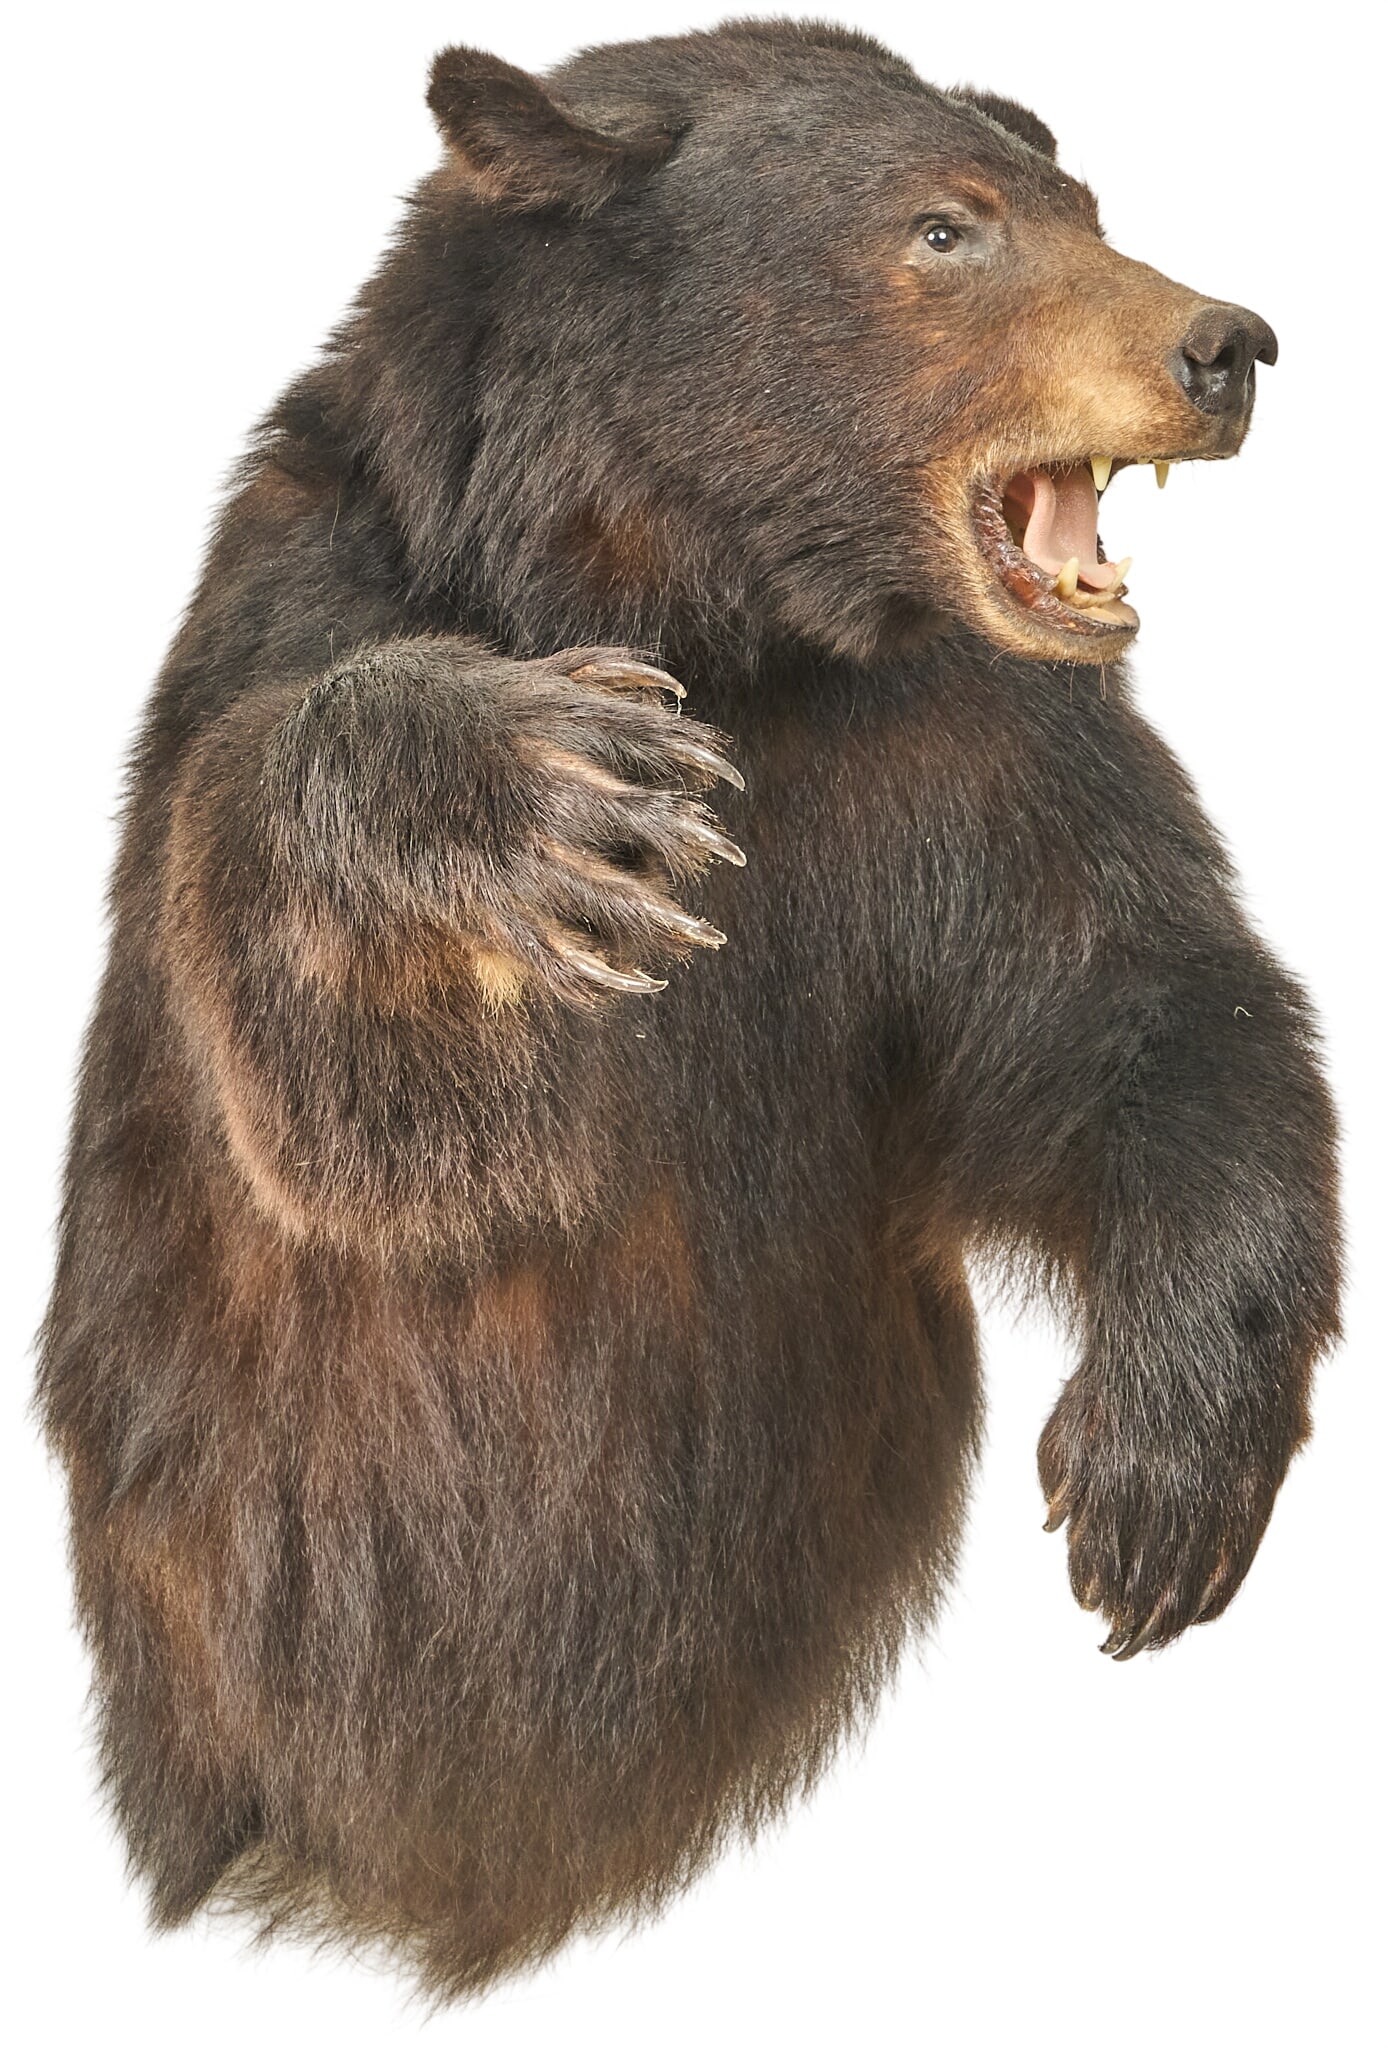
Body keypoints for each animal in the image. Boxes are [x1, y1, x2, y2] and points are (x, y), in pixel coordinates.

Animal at [38, 16, 1342, 2004]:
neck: (706, 595)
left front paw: (1159, 1476)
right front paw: (554, 783)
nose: (1223, 345)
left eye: (1078, 199)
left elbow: (1144, 1006)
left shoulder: (968, 754)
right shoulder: (304, 615)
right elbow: (367, 1122)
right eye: (944, 227)